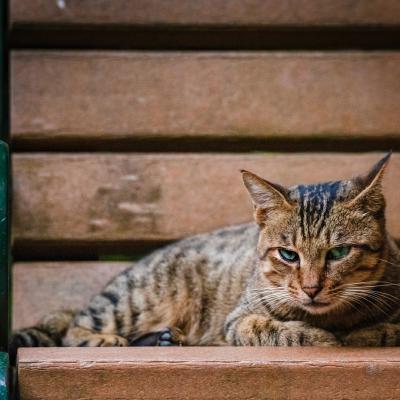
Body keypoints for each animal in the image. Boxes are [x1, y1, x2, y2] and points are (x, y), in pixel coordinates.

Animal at [10, 152, 400, 360]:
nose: (311, 289)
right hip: (133, 300)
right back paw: (113, 339)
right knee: (72, 328)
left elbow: (384, 329)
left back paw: (165, 339)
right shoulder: (239, 320)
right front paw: (321, 336)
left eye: (339, 252)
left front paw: (362, 333)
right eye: (288, 255)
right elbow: (274, 328)